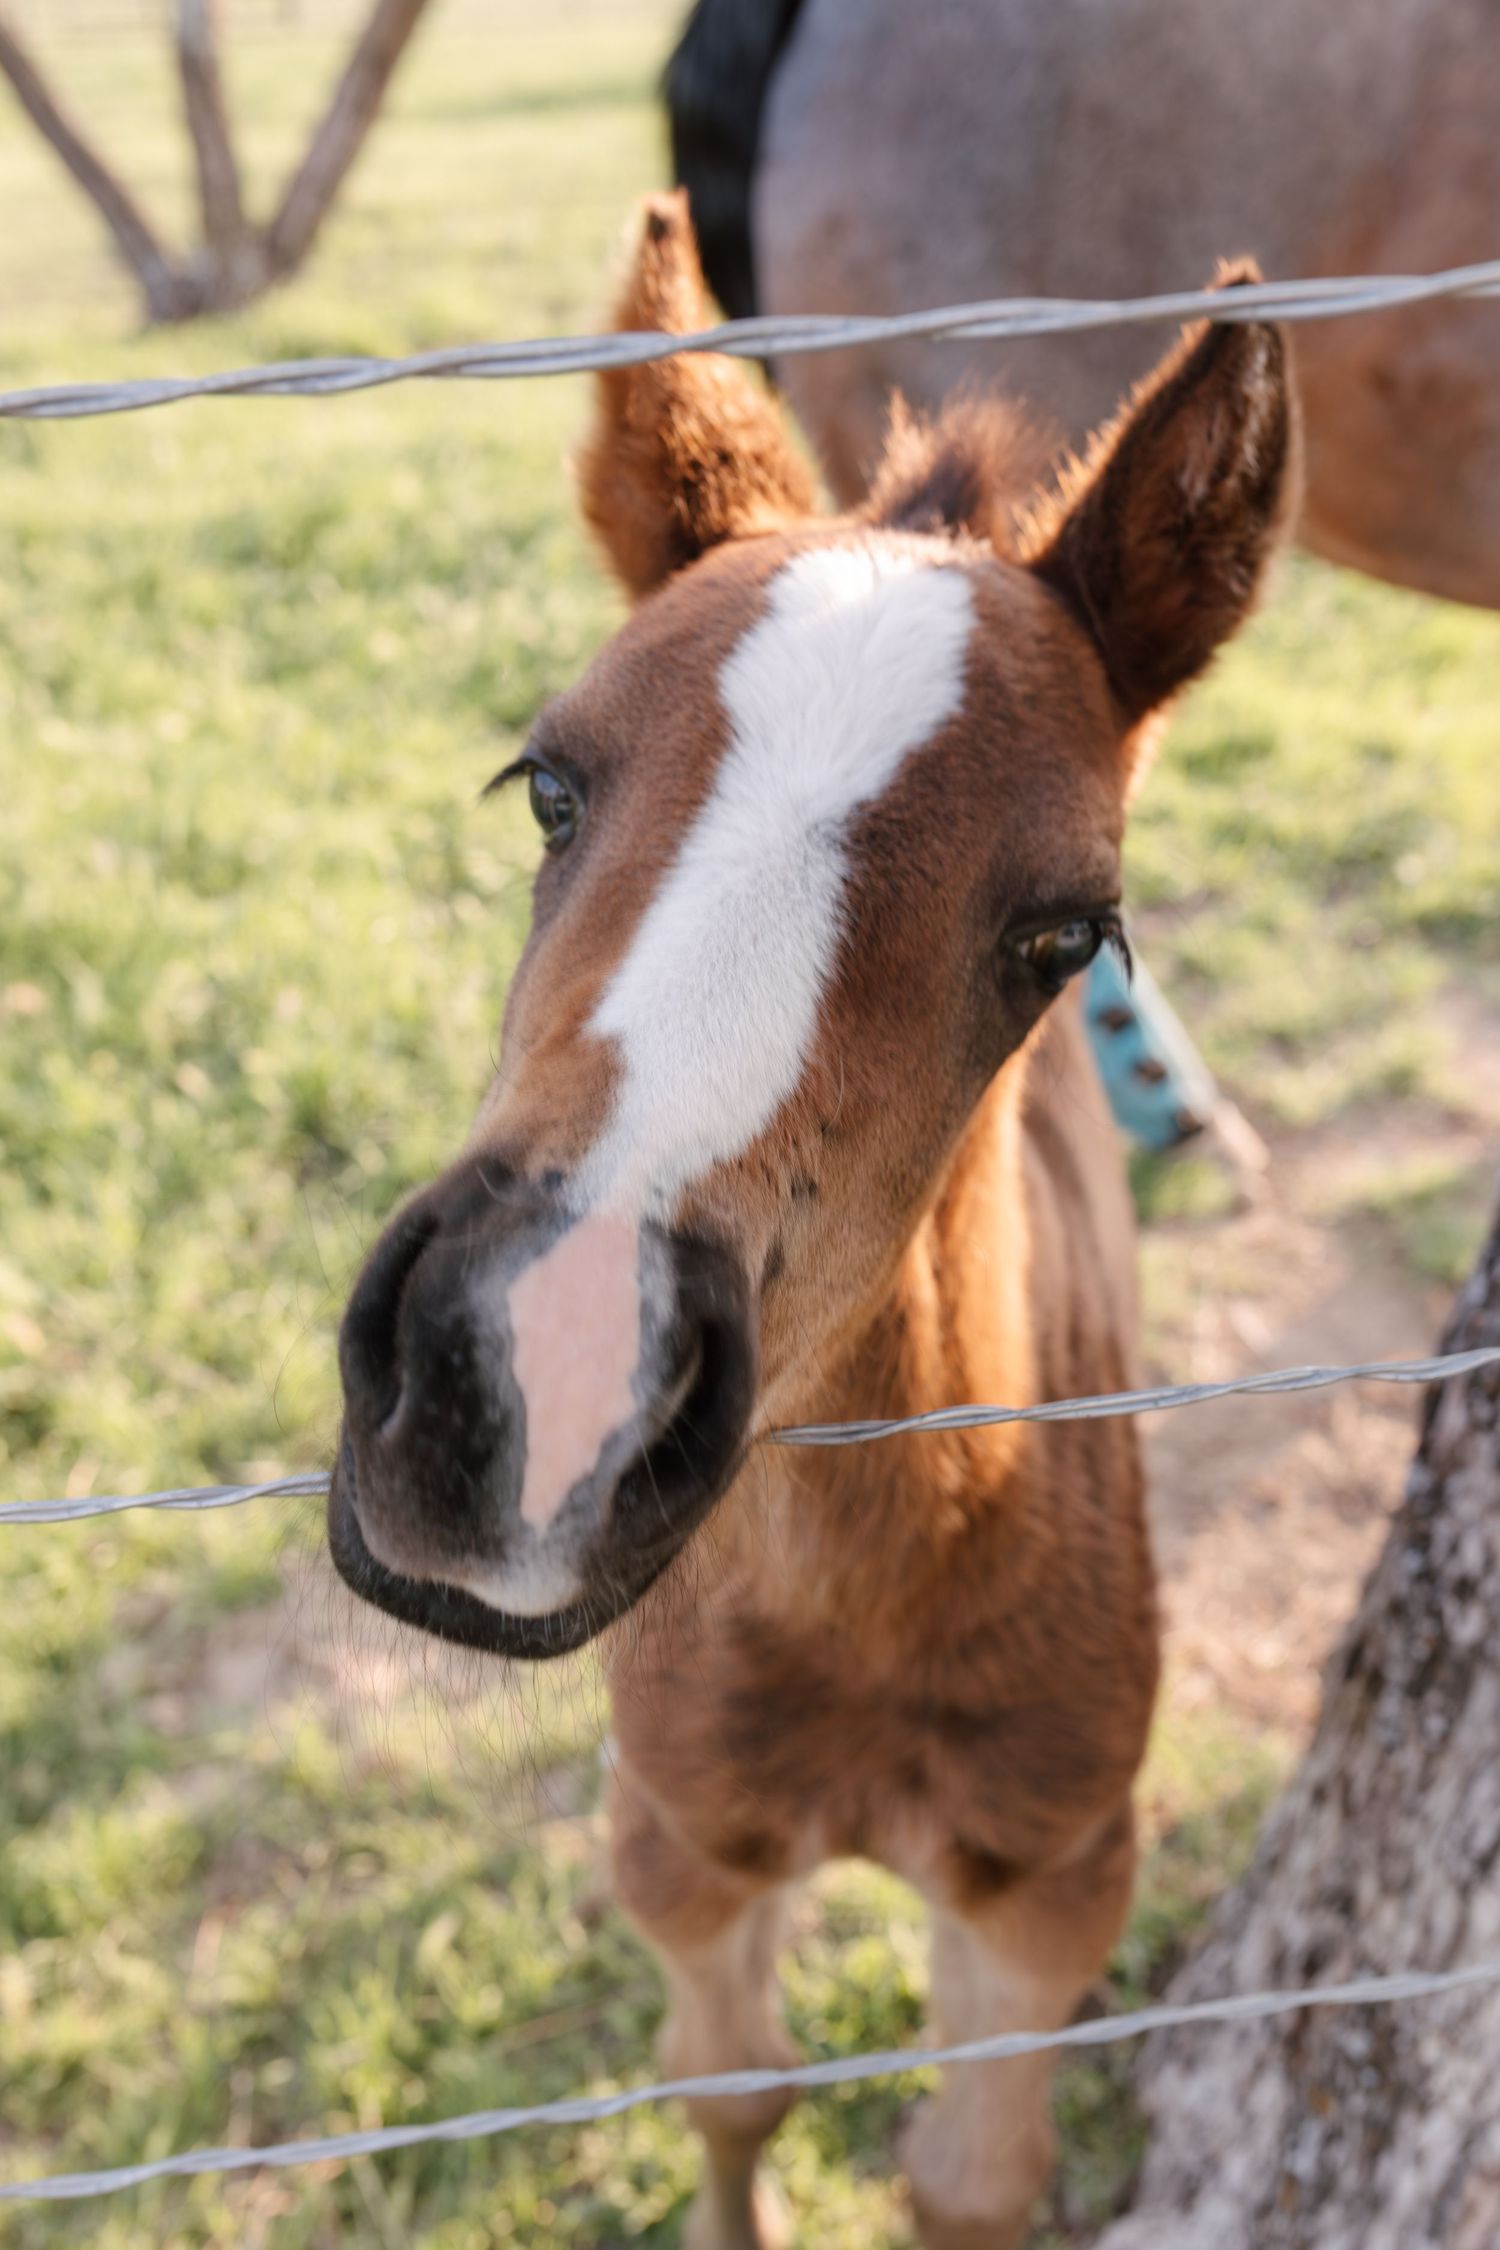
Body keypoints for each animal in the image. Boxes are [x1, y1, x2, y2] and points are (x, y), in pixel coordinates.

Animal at [326, 194, 1293, 2247]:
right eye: (544, 783)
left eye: (1065, 934)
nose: (531, 1377)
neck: (863, 1582)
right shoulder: (680, 1840)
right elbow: (732, 2085)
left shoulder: (1053, 1878)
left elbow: (971, 2177)